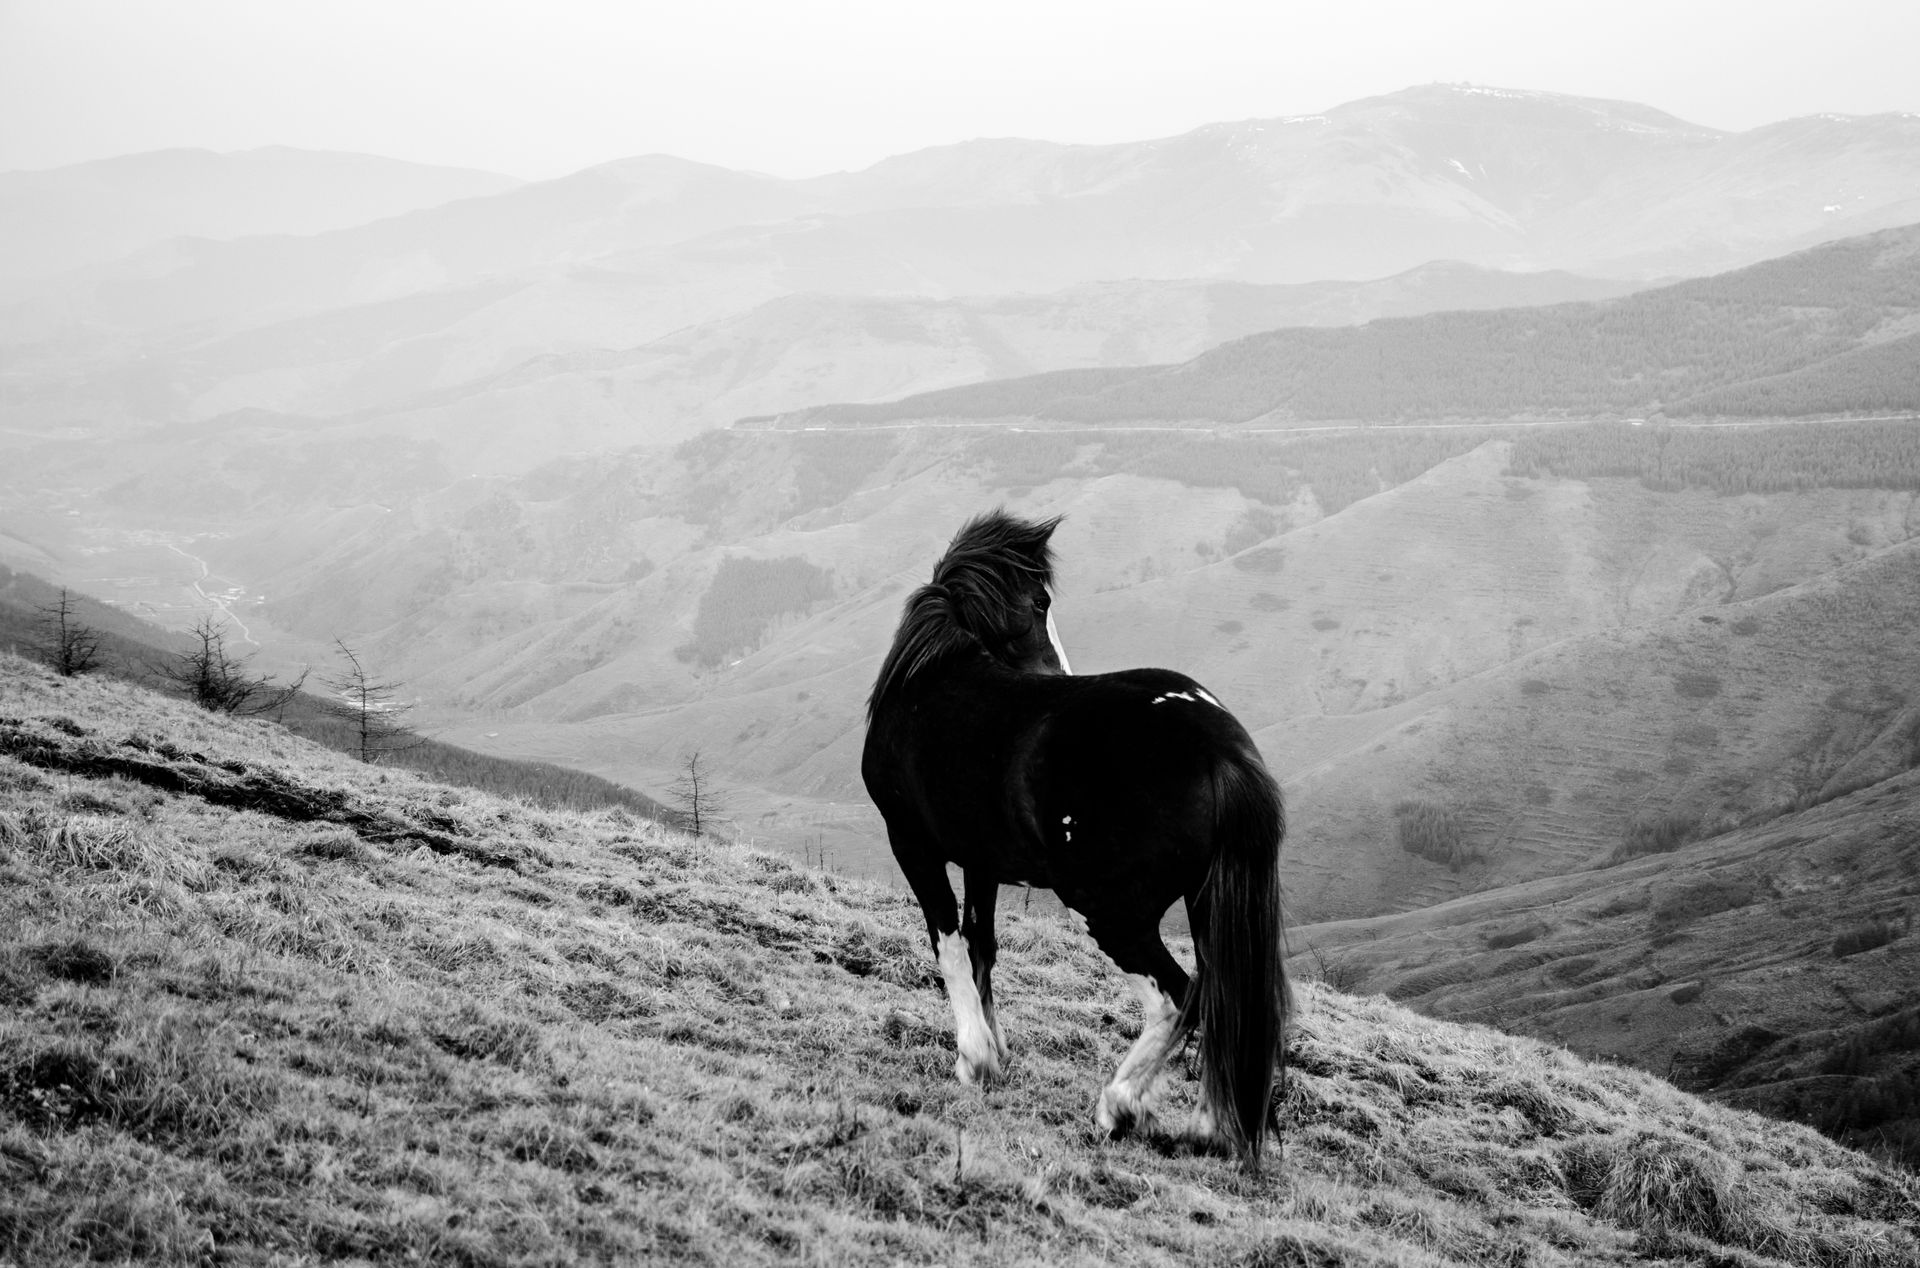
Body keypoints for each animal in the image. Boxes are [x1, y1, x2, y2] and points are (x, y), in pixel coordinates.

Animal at [861, 509, 1291, 1167]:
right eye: (1039, 601)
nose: (1055, 673)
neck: (934, 680)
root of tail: (1220, 749)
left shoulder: (912, 843)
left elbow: (950, 945)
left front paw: (975, 1061)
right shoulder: (983, 863)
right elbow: (983, 948)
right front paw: (998, 1052)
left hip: (1108, 911)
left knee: (1179, 999)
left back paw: (1119, 1107)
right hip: (1207, 904)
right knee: (1225, 1004)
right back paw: (1208, 1128)